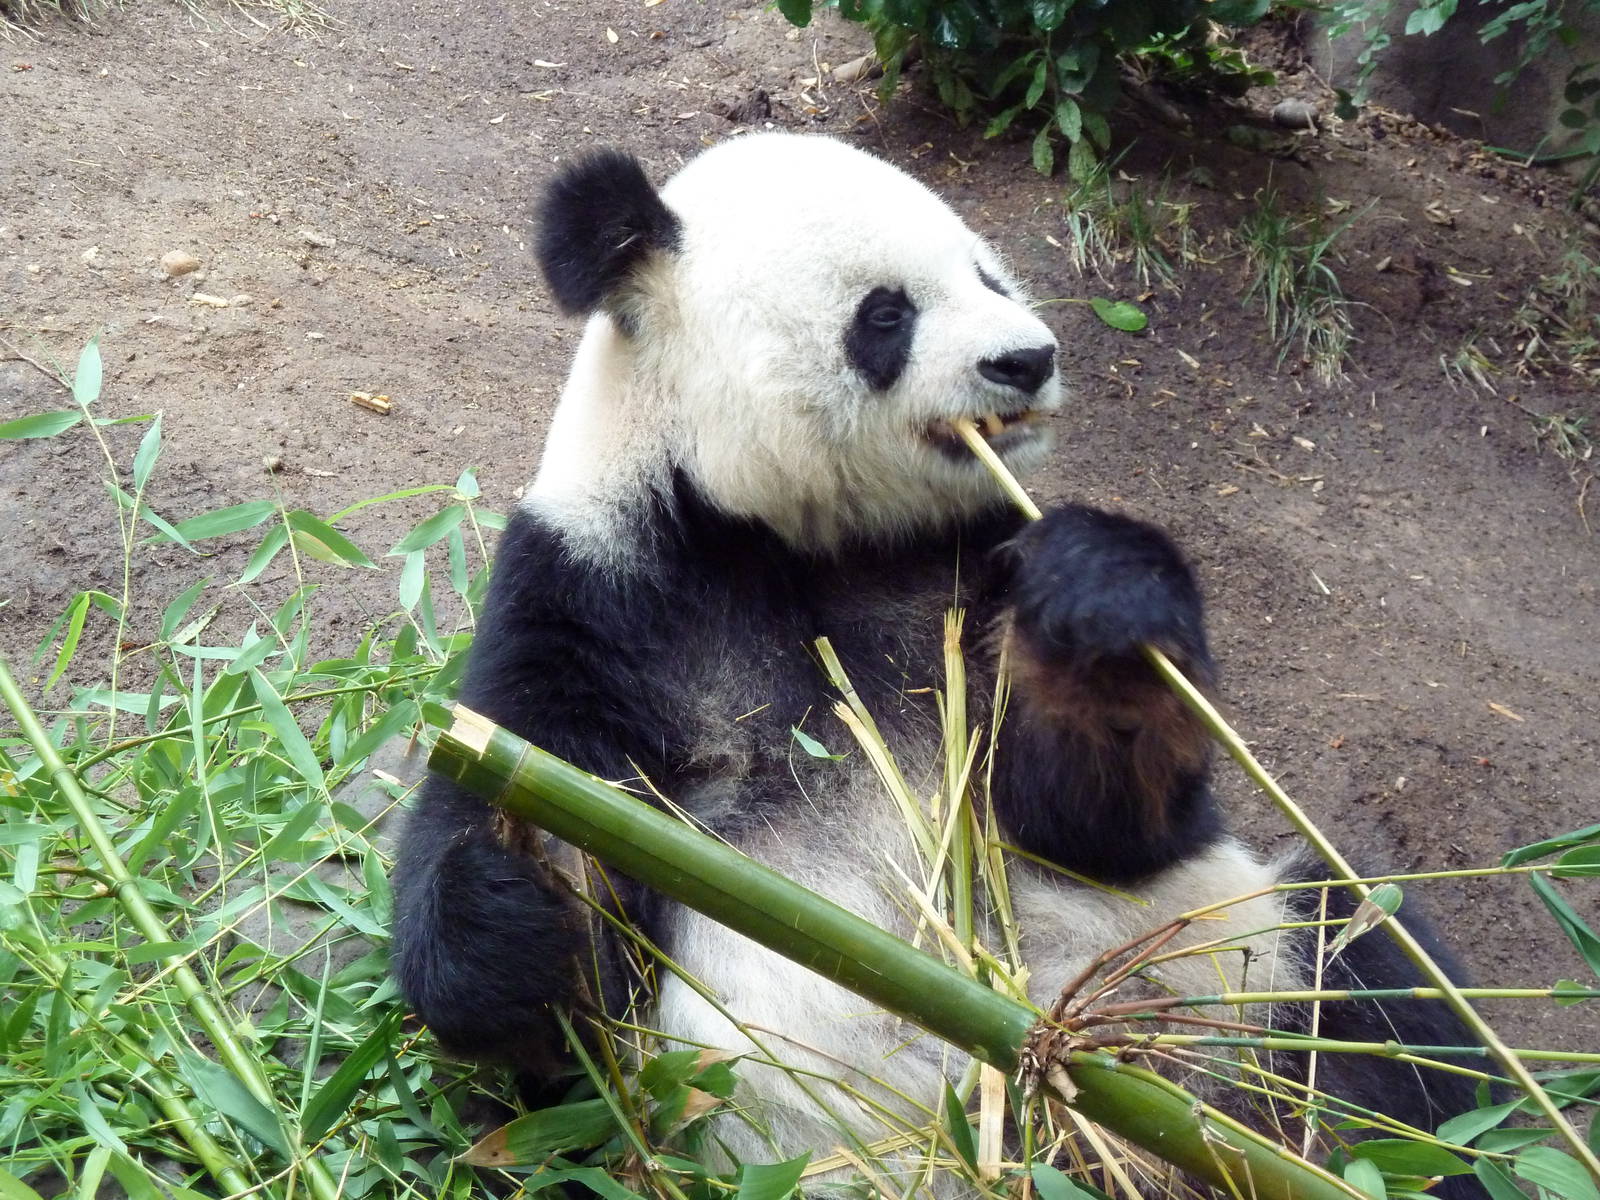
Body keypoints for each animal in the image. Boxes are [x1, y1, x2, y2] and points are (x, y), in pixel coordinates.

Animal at [391, 133, 1475, 1186]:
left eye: (988, 274)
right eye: (886, 313)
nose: (1027, 358)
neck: (796, 537)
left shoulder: (975, 572)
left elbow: (1091, 822)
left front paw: (1108, 609)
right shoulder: (600, 598)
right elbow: (528, 849)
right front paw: (516, 912)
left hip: (1239, 977)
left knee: (1383, 1010)